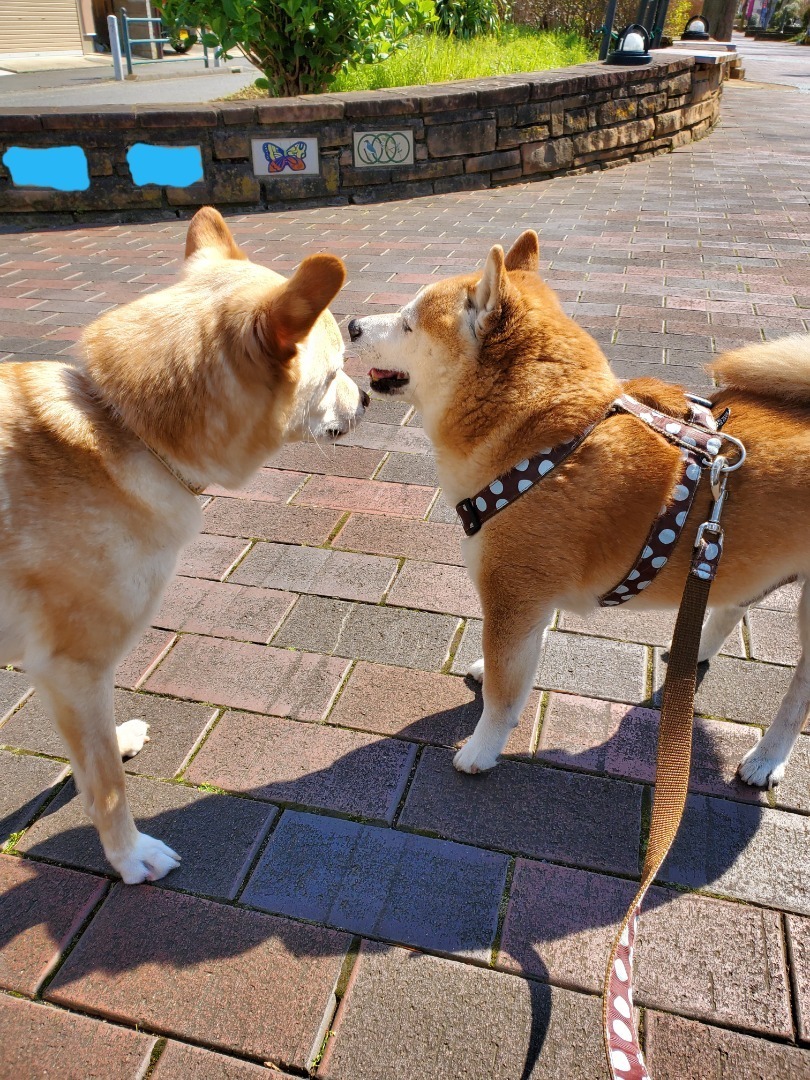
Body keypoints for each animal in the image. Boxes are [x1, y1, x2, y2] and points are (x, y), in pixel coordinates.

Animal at [0, 206, 362, 881]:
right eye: (333, 374)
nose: (371, 396)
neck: (119, 424)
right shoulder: (72, 664)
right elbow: (106, 787)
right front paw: (128, 853)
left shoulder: (64, 672)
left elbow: (92, 753)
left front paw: (110, 742)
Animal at [349, 234, 810, 794]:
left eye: (409, 323)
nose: (351, 324)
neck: (551, 441)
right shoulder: (530, 596)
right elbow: (522, 658)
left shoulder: (512, 592)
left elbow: (504, 693)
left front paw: (482, 748)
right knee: (732, 603)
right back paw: (692, 650)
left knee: (798, 696)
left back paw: (767, 757)